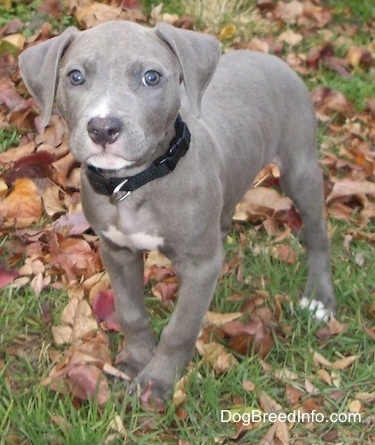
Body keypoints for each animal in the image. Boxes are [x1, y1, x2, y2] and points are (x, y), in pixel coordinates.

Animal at [19, 20, 336, 398]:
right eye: (76, 77)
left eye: (152, 77)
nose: (103, 128)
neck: (136, 183)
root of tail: (273, 58)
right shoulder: (117, 251)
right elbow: (130, 312)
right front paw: (136, 360)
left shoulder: (200, 266)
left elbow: (180, 328)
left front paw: (156, 381)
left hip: (300, 169)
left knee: (317, 233)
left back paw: (319, 298)